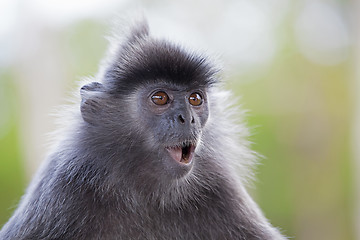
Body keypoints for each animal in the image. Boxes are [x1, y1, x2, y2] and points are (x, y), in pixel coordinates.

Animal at [0, 20, 286, 240]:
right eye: (160, 98)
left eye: (195, 98)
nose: (187, 118)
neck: (145, 195)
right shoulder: (61, 186)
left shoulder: (220, 185)